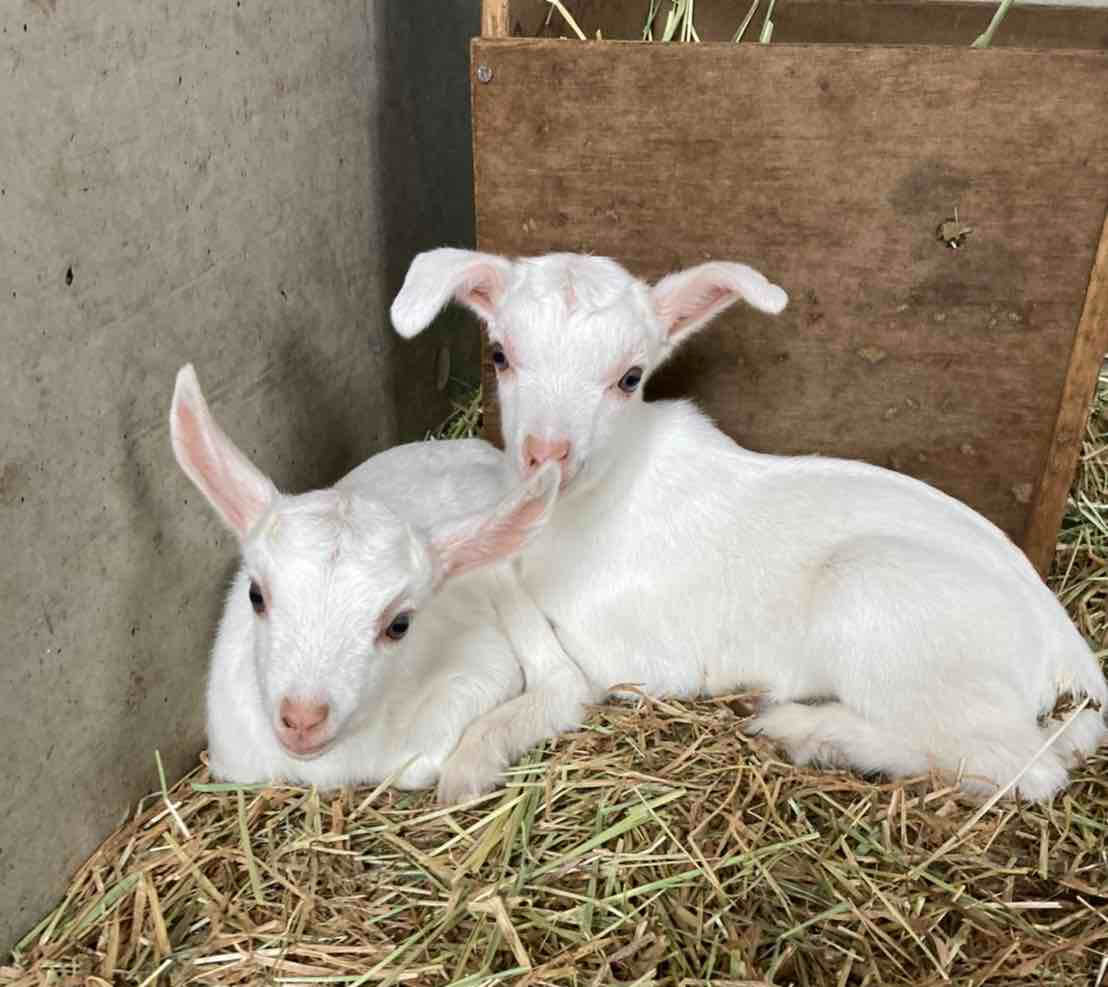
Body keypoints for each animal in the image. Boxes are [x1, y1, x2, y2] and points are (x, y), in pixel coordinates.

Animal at [394, 247, 1108, 802]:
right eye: (499, 354)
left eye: (630, 377)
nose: (546, 454)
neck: (594, 503)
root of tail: (1070, 652)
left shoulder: (634, 656)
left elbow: (556, 676)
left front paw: (468, 765)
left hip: (883, 605)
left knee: (1019, 766)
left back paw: (810, 731)